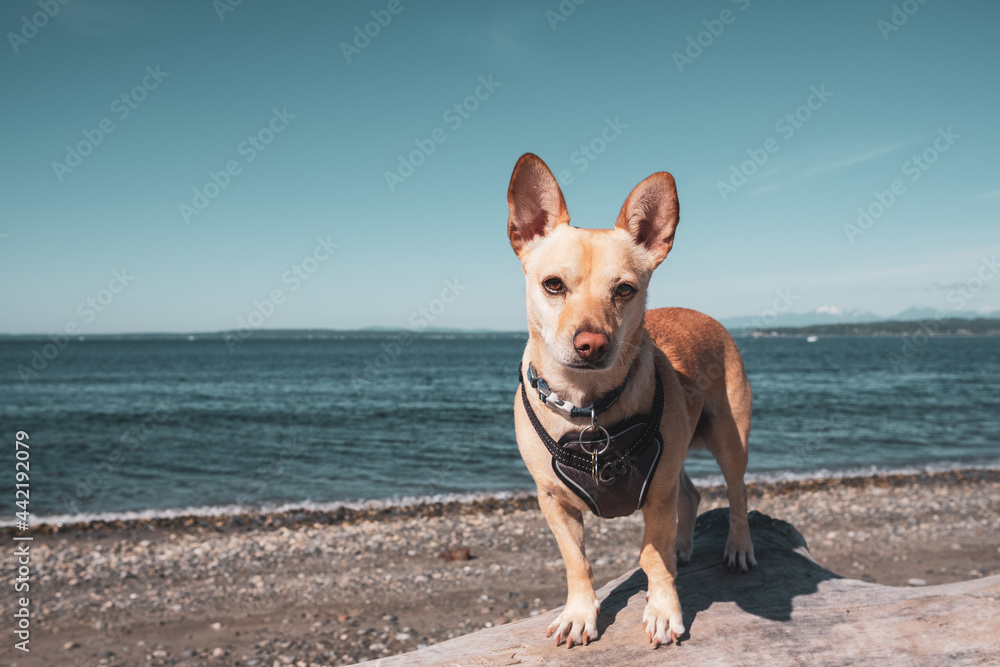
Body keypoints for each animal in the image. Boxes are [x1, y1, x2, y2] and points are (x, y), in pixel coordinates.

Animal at [504, 154, 752, 648]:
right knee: (691, 493)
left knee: (737, 493)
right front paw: (579, 614)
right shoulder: (553, 501)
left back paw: (738, 548)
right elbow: (577, 562)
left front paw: (663, 611)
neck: (587, 406)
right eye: (553, 285)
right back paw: (684, 546)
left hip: (728, 440)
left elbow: (653, 558)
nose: (592, 344)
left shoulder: (656, 492)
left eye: (625, 290)